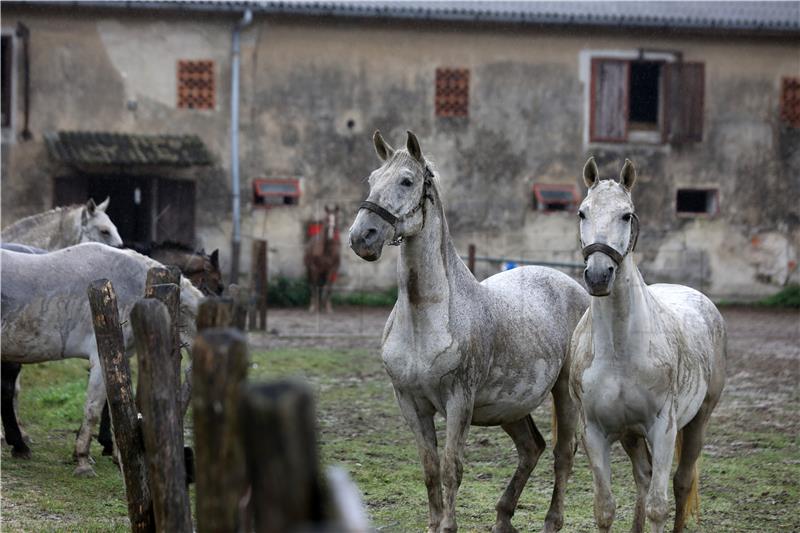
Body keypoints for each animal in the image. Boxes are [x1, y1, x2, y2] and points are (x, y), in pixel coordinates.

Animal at [350, 132, 588, 532]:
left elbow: (451, 469)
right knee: (531, 448)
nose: (362, 237)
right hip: (511, 405)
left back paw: (551, 521)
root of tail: (575, 288)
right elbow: (430, 468)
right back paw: (503, 517)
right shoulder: (410, 403)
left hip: (564, 394)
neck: (425, 319)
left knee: (562, 454)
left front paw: (448, 525)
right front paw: (434, 525)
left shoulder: (458, 402)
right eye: (371, 178)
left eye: (407, 181)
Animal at [568, 158, 724, 532]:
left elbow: (657, 506)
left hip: (698, 421)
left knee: (681, 482)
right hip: (631, 435)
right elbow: (605, 508)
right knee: (643, 476)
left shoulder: (663, 428)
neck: (620, 349)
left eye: (626, 215)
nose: (598, 276)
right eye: (582, 212)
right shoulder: (594, 432)